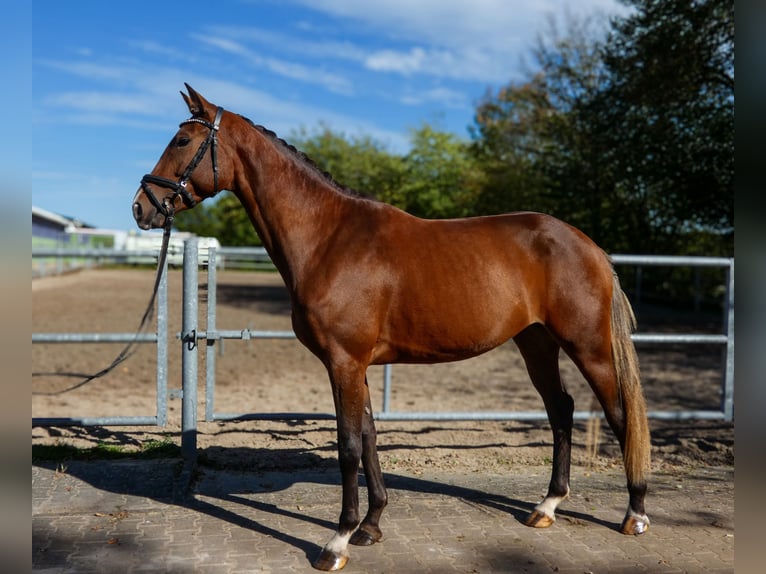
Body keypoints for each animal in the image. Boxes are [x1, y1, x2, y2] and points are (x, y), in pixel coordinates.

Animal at [132, 84, 651, 571]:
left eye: (182, 140)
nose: (142, 207)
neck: (329, 238)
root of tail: (590, 247)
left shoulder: (343, 362)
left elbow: (347, 446)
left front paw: (337, 541)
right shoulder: (356, 365)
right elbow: (368, 438)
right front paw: (371, 526)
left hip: (588, 347)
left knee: (618, 414)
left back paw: (635, 514)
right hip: (536, 343)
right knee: (560, 410)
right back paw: (547, 507)